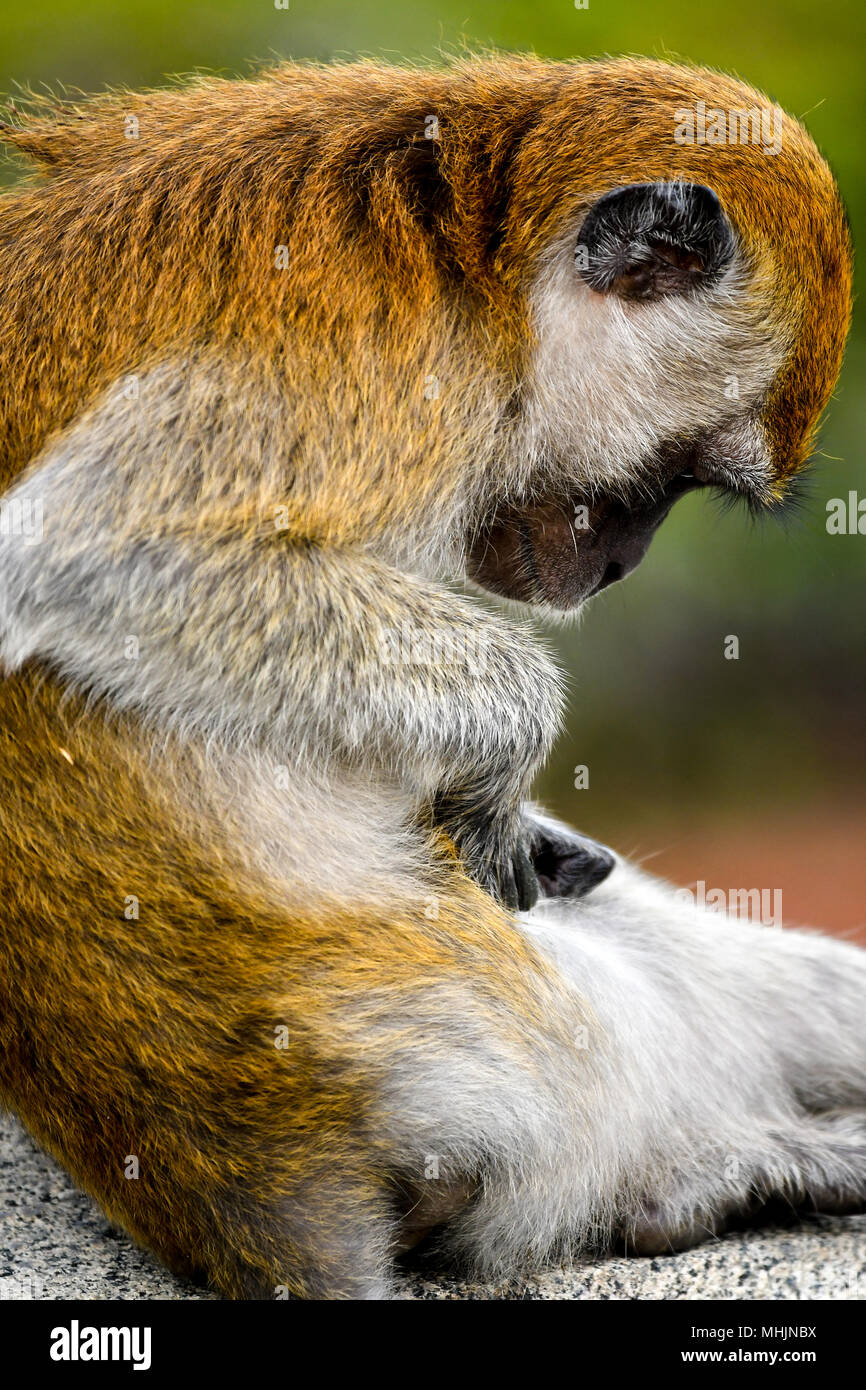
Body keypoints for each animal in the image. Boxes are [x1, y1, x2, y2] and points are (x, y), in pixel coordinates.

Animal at [0, 55, 862, 1300]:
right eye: (673, 471)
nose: (617, 563)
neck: (476, 263)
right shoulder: (376, 360)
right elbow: (84, 558)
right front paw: (510, 741)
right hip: (514, 1042)